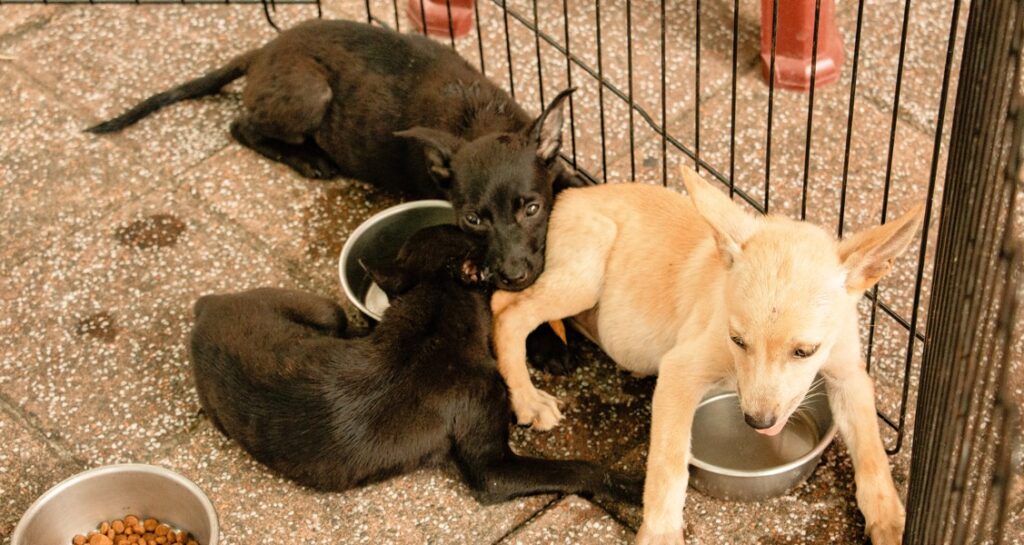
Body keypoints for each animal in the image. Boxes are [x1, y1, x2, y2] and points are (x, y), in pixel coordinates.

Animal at [190, 225, 638, 501]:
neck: (435, 312)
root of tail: (205, 306)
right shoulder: (493, 467)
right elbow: (578, 469)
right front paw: (630, 485)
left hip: (325, 313)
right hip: (325, 313)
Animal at [491, 166, 925, 545]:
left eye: (805, 351)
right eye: (737, 340)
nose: (757, 422)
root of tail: (569, 194)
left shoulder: (850, 376)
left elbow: (872, 453)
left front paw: (890, 522)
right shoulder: (680, 370)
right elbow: (669, 464)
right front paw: (660, 533)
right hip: (583, 276)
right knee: (506, 310)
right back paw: (528, 396)